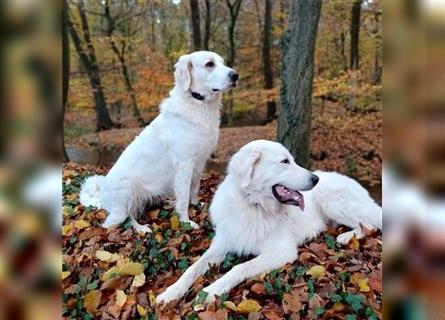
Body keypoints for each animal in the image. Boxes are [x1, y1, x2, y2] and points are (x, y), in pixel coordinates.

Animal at [80, 50, 239, 232]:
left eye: (222, 62)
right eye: (209, 64)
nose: (236, 75)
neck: (198, 104)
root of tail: (102, 197)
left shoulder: (200, 161)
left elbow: (194, 188)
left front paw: (196, 205)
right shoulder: (184, 162)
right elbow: (183, 196)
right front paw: (186, 221)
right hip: (127, 191)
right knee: (117, 221)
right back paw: (141, 228)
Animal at [157, 139, 382, 302]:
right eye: (285, 162)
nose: (315, 179)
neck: (253, 205)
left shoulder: (282, 251)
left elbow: (239, 268)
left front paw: (211, 290)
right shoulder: (221, 245)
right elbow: (191, 269)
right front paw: (171, 292)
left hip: (333, 203)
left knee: (369, 224)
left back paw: (346, 237)